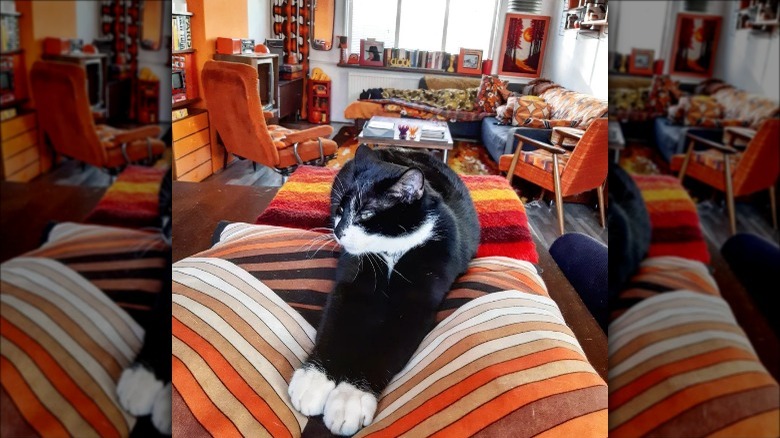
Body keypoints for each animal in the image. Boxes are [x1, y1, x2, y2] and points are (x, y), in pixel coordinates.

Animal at [290, 146, 478, 434]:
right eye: (341, 209)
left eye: (366, 214)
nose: (338, 231)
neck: (391, 252)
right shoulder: (352, 281)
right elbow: (335, 326)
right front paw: (313, 381)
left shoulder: (416, 301)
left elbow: (386, 345)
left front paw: (350, 399)